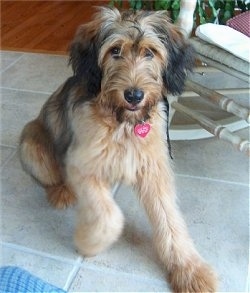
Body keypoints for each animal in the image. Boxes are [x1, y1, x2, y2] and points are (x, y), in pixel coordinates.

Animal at [19, 8, 217, 290]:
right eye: (114, 50)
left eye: (150, 52)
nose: (134, 95)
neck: (124, 123)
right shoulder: (81, 166)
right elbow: (110, 216)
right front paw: (88, 243)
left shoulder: (154, 171)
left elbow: (170, 221)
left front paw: (190, 271)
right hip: (32, 145)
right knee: (50, 177)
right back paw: (61, 192)